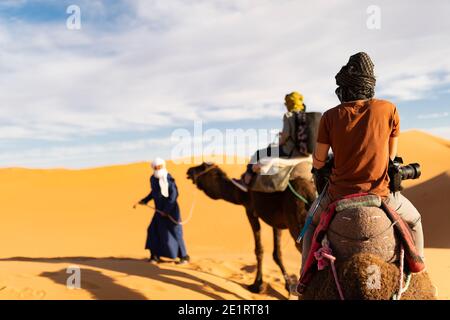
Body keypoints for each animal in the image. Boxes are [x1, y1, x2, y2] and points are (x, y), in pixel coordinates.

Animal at [186, 161, 316, 294]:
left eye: (201, 167)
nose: (189, 170)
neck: (238, 193)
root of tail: (310, 194)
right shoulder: (276, 222)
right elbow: (277, 253)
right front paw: (288, 284)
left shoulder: (250, 210)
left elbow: (259, 249)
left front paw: (257, 285)